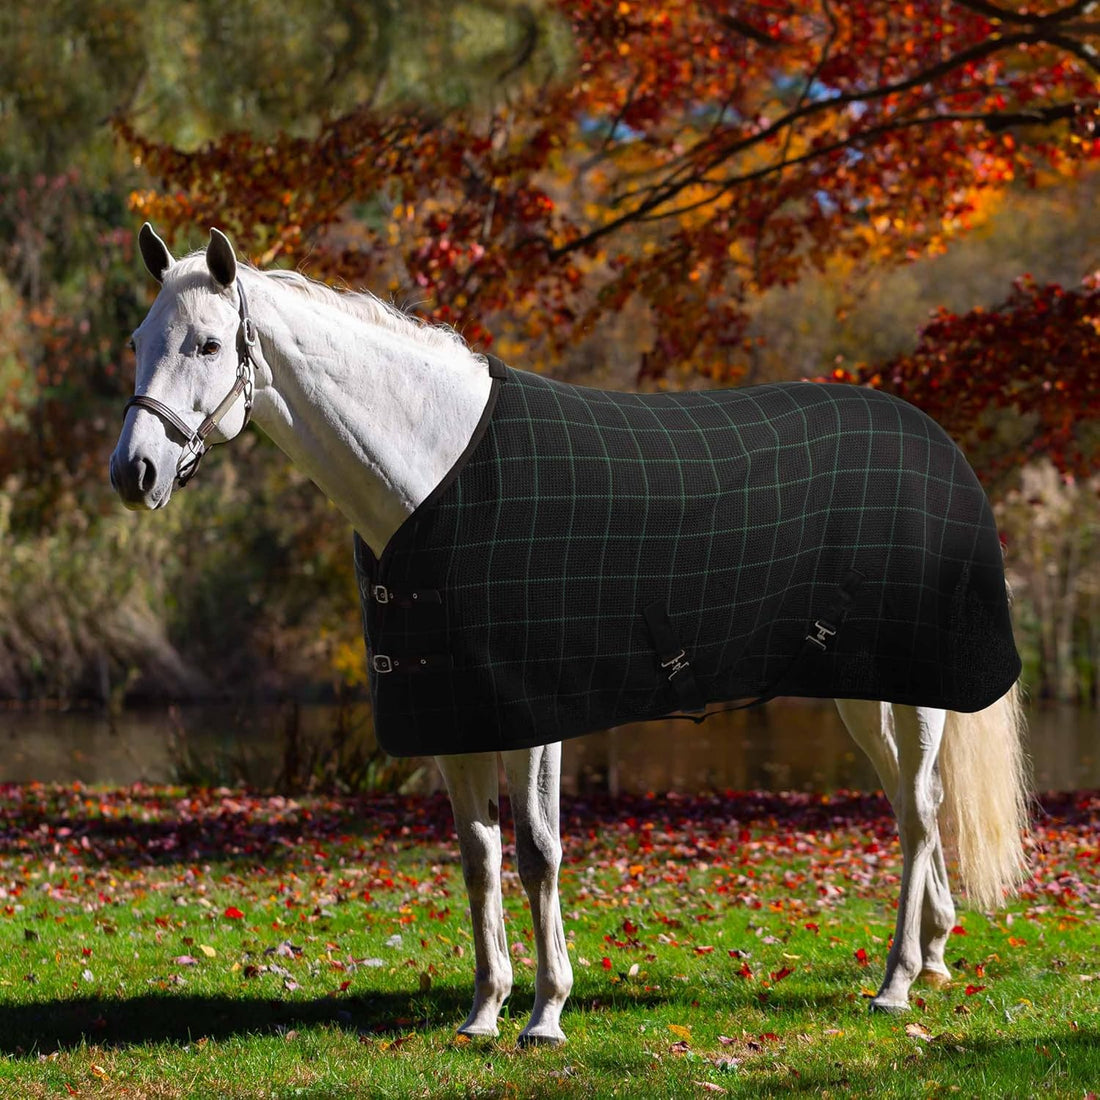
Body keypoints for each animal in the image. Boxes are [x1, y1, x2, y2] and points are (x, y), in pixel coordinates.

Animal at [109, 224, 1030, 1046]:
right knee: (911, 804)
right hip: (861, 688)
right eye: (138, 340)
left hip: (918, 688)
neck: (434, 476)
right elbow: (478, 857)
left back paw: (896, 984)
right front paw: (484, 1012)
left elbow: (538, 852)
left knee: (920, 812)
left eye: (208, 343)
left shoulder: (533, 714)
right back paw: (934, 955)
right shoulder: (454, 713)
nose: (133, 471)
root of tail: (937, 440)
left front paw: (547, 1014)